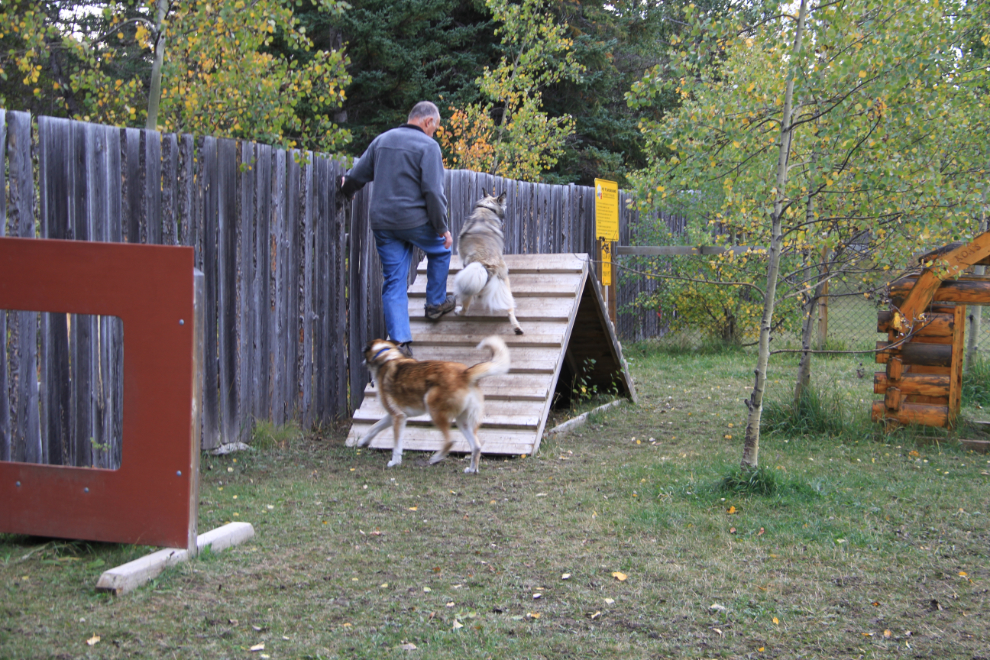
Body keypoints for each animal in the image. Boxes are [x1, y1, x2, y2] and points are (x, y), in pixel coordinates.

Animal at [358, 336, 512, 474]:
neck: (384, 355)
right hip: (463, 421)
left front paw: (394, 462)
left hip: (434, 410)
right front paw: (362, 442)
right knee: (477, 446)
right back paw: (472, 470)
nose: (362, 362)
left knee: (450, 441)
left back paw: (436, 458)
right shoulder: (393, 416)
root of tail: (464, 374)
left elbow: (396, 445)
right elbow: (373, 427)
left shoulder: (398, 417)